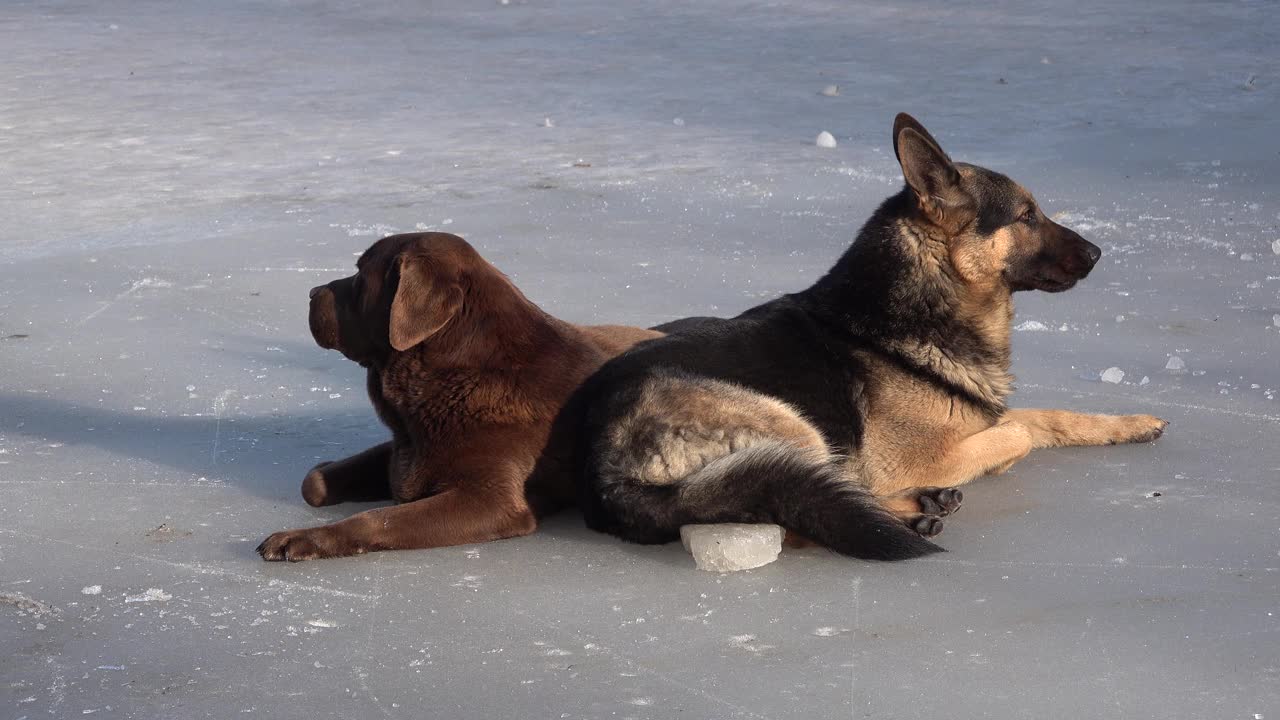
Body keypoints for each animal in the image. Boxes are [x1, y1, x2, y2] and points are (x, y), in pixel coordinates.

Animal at [578, 114, 1172, 558]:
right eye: (1026, 215)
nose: (1098, 253)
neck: (923, 304)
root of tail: (603, 471)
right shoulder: (916, 455)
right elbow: (1019, 433)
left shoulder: (977, 414)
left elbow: (1048, 417)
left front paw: (1129, 424)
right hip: (792, 424)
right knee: (799, 509)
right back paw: (911, 516)